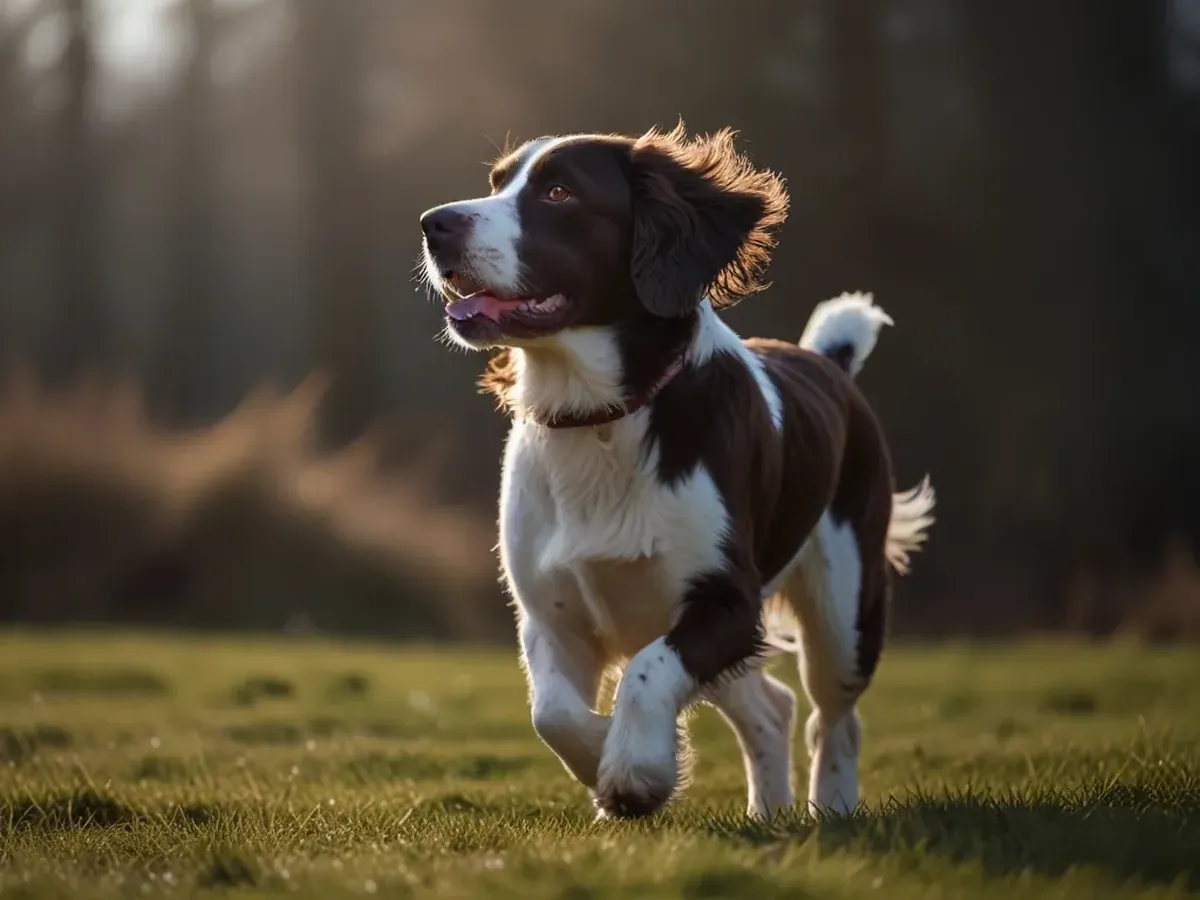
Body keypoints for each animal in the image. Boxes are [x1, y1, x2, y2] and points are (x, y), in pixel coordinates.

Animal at [422, 123, 936, 820]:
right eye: (498, 182)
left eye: (560, 192)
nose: (433, 224)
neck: (601, 417)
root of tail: (828, 362)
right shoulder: (549, 609)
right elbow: (551, 713)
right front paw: (609, 761)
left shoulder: (728, 602)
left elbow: (645, 674)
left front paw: (634, 773)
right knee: (772, 709)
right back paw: (769, 815)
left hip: (845, 607)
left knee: (833, 717)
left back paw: (829, 809)